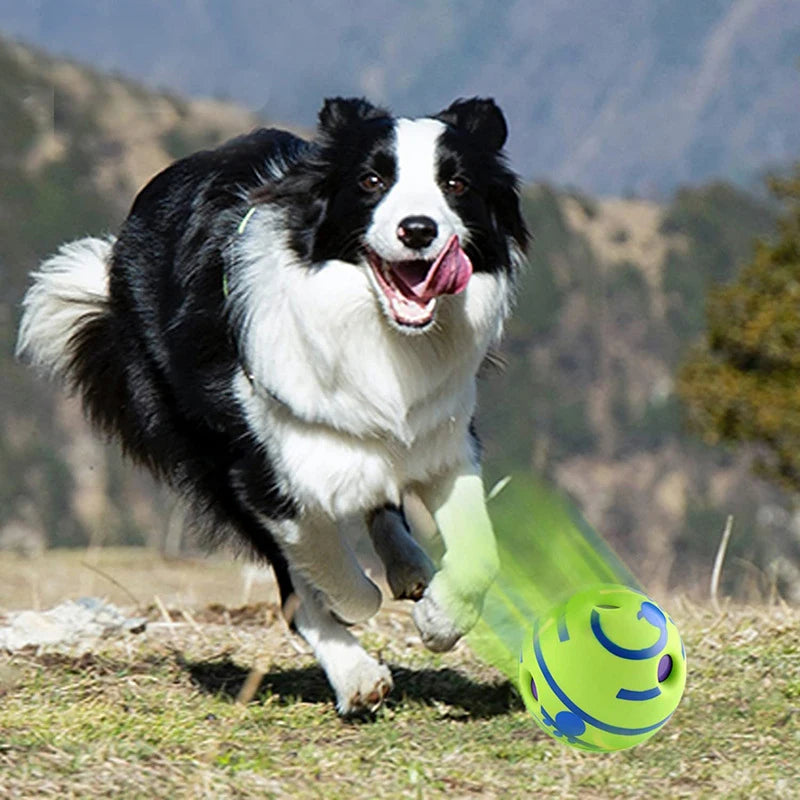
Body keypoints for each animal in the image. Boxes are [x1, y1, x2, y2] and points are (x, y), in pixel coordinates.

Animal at [15, 97, 528, 716]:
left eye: (456, 183)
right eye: (371, 181)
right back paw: (356, 673)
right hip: (202, 449)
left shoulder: (444, 437)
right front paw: (355, 606)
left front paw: (438, 620)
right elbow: (320, 563)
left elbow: (480, 553)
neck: (376, 332)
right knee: (294, 585)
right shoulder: (258, 469)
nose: (418, 230)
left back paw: (408, 567)